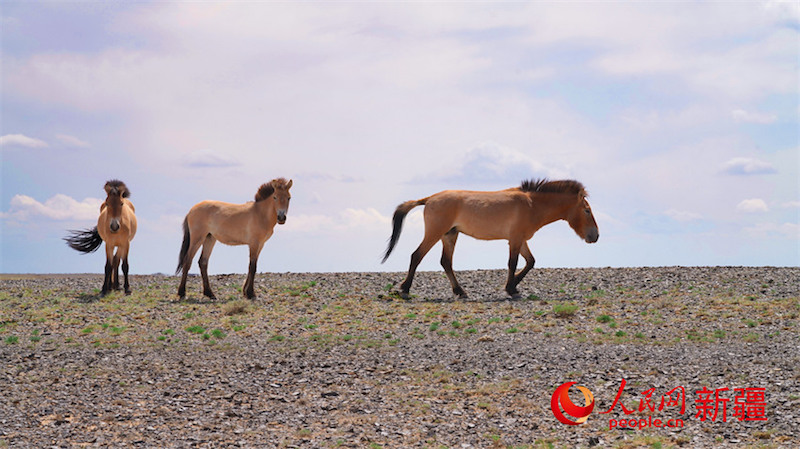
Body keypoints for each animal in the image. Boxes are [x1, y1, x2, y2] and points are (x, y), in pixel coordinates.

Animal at [382, 179, 599, 299]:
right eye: (587, 211)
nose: (595, 235)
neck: (532, 205)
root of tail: (429, 198)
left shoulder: (521, 239)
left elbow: (530, 262)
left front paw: (513, 285)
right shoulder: (515, 239)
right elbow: (513, 263)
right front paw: (511, 289)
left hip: (450, 235)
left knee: (446, 262)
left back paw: (460, 291)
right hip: (435, 233)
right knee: (417, 256)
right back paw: (405, 289)